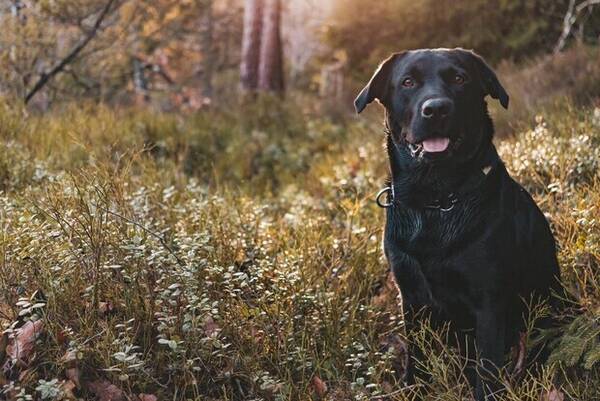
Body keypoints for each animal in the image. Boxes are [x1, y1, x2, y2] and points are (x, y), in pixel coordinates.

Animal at [354, 49, 560, 400]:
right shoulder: (411, 297)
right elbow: (416, 359)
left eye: (460, 78)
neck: (435, 200)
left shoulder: (488, 303)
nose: (436, 109)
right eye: (407, 82)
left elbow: (486, 371)